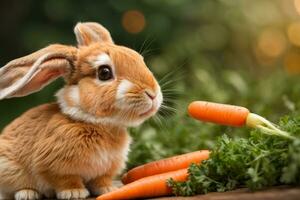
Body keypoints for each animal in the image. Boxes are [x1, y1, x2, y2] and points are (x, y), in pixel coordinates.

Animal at [0, 22, 163, 200]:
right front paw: (74, 193)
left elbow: (101, 180)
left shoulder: (104, 171)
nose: (153, 94)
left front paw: (109, 190)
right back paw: (27, 193)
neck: (98, 123)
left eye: (139, 59)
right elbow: (66, 180)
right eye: (104, 72)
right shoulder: (53, 167)